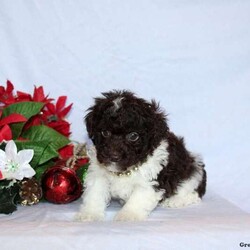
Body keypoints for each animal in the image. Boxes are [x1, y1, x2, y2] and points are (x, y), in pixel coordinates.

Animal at [76, 91, 207, 222]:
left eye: (133, 136)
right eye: (105, 133)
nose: (114, 156)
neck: (125, 171)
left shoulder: (150, 180)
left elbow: (138, 198)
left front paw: (128, 215)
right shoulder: (98, 173)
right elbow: (94, 193)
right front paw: (89, 213)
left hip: (193, 170)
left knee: (192, 189)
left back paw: (176, 200)